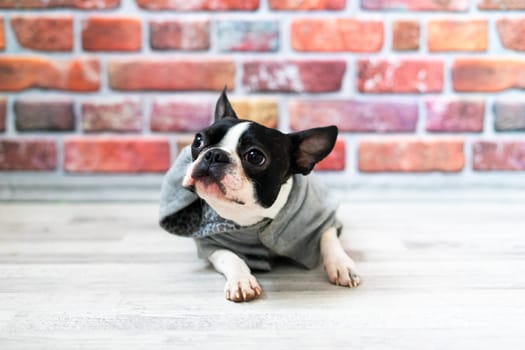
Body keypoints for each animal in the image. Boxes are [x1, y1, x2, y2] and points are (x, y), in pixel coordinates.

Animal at [158, 89, 358, 300]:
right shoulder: (210, 243)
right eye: (198, 140)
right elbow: (230, 256)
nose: (214, 154)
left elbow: (328, 237)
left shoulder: (323, 217)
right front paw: (241, 280)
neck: (253, 216)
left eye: (255, 156)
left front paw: (342, 265)